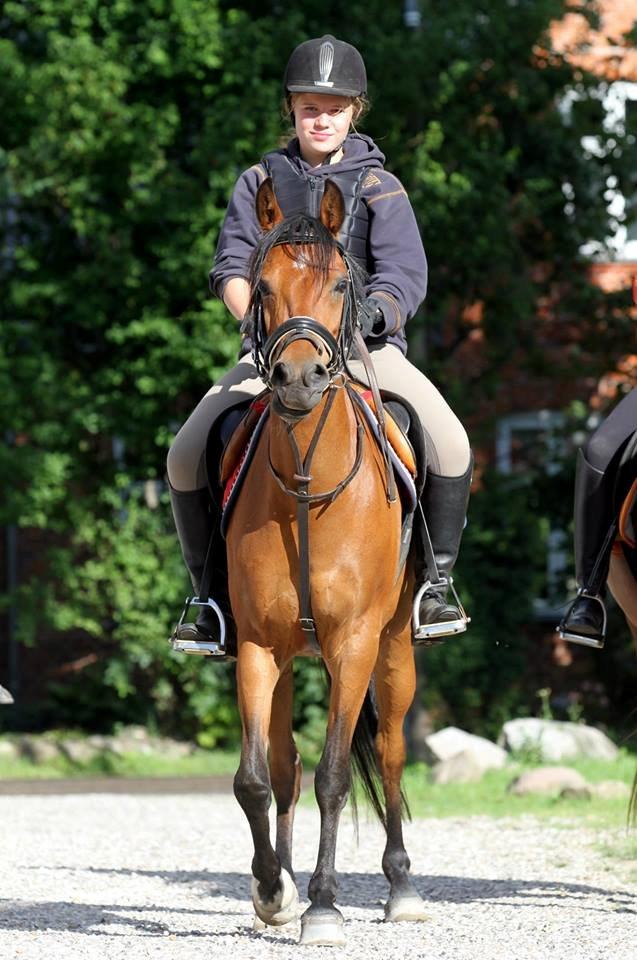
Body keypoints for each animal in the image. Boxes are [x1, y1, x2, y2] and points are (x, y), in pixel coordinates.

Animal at [225, 178, 428, 944]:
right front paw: (273, 891)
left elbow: (334, 775)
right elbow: (255, 778)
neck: (308, 483)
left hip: (393, 652)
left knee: (392, 751)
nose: (298, 378)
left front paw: (322, 905)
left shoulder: (355, 643)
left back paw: (401, 888)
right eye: (262, 287)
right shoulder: (257, 645)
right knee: (281, 765)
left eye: (343, 283)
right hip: (288, 658)